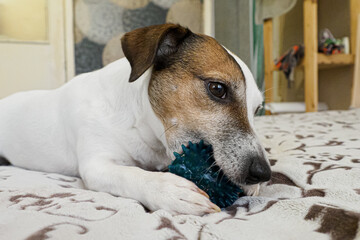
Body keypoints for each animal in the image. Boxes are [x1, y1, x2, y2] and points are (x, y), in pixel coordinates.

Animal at [0, 24, 270, 216]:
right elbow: (131, 174)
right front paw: (168, 190)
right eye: (217, 88)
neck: (140, 125)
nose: (263, 173)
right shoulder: (97, 165)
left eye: (257, 108)